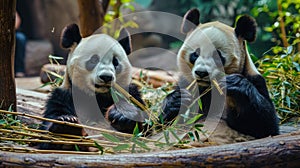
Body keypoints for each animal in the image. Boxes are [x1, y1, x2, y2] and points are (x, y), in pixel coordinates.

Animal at [39, 23, 182, 150]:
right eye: (94, 60)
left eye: (115, 61)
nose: (106, 77)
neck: (99, 96)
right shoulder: (64, 96)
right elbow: (46, 134)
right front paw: (66, 123)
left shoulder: (131, 93)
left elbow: (147, 127)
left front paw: (121, 115)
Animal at [163, 8, 280, 144]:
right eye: (196, 53)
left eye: (217, 55)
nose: (201, 73)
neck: (207, 88)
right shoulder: (185, 83)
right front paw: (176, 100)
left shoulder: (255, 79)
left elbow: (266, 125)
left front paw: (234, 84)